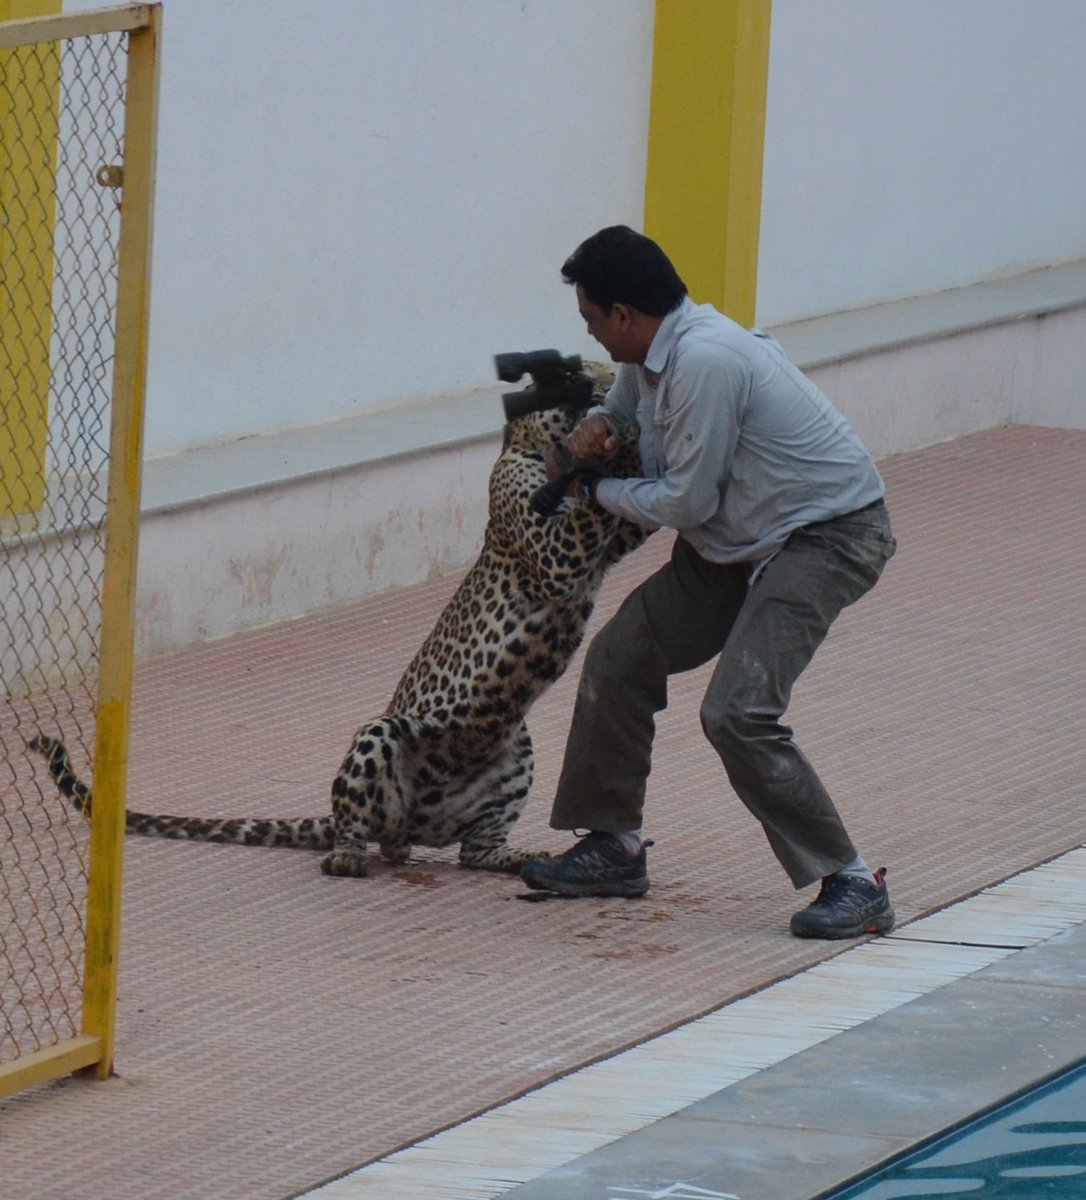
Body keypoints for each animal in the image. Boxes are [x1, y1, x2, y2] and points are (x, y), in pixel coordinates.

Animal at [30, 368, 650, 879]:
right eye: (581, 379)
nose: (609, 384)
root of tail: (418, 827)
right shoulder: (554, 552)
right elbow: (591, 511)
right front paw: (627, 439)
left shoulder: (606, 543)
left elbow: (629, 516)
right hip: (381, 734)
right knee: (363, 832)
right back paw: (348, 856)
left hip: (515, 750)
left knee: (469, 852)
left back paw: (517, 856)